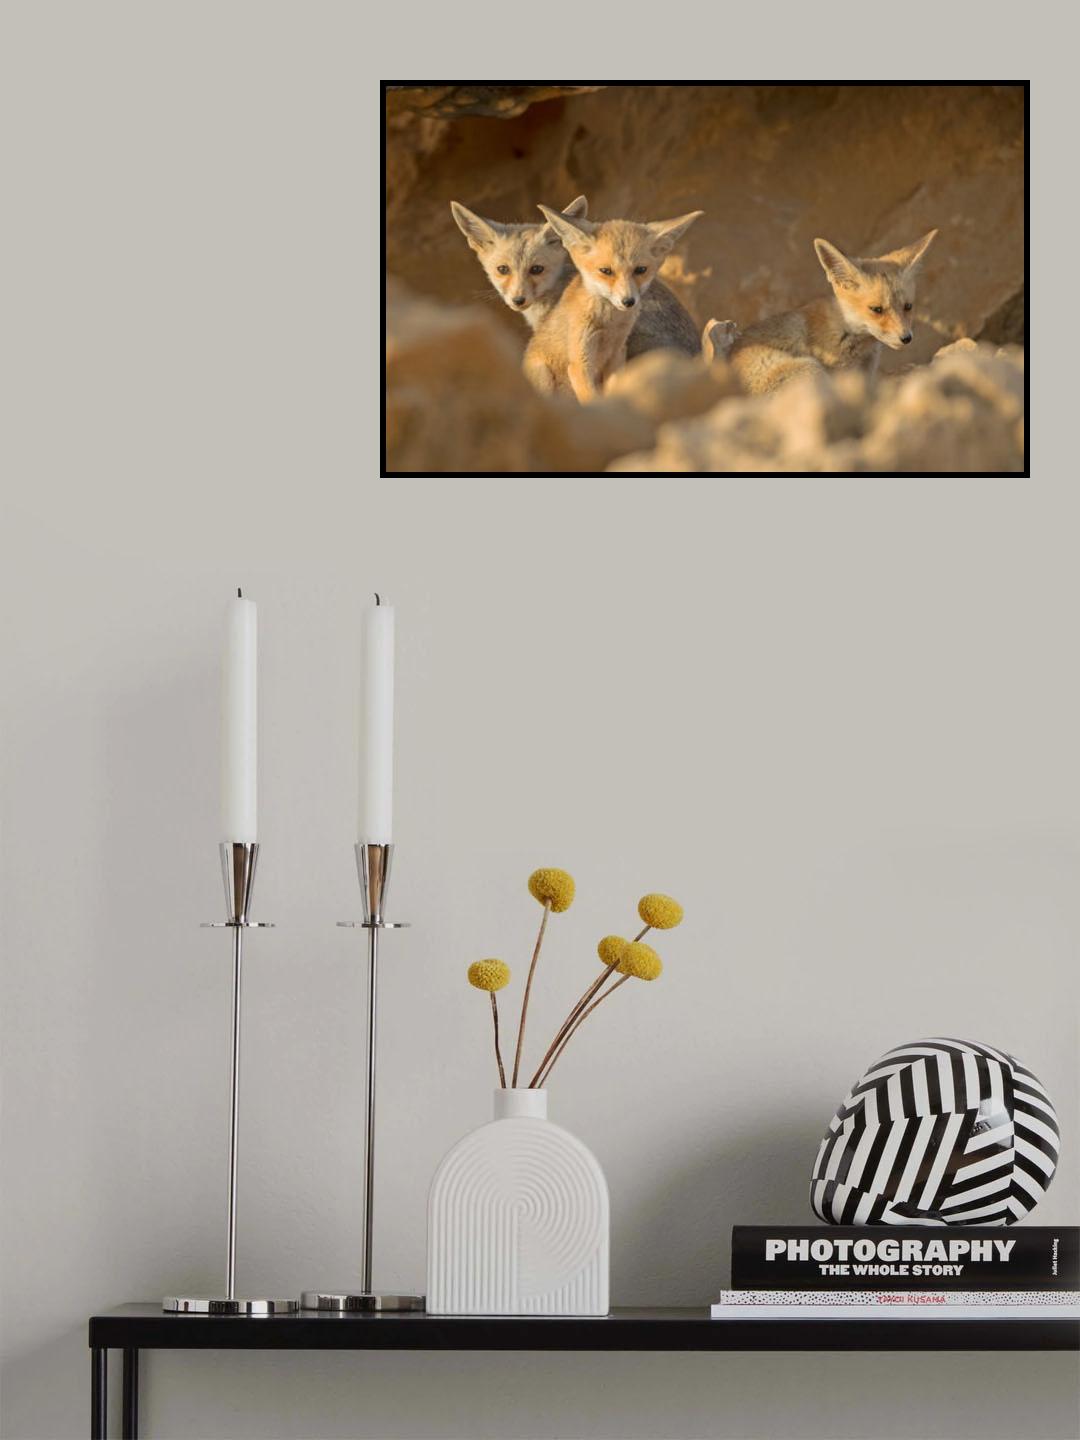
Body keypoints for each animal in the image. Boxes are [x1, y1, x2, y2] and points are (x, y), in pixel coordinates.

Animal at [523, 206, 703, 402]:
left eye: (640, 270)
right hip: (544, 375)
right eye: (606, 271)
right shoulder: (580, 362)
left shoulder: (616, 355)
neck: (608, 326)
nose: (628, 301)